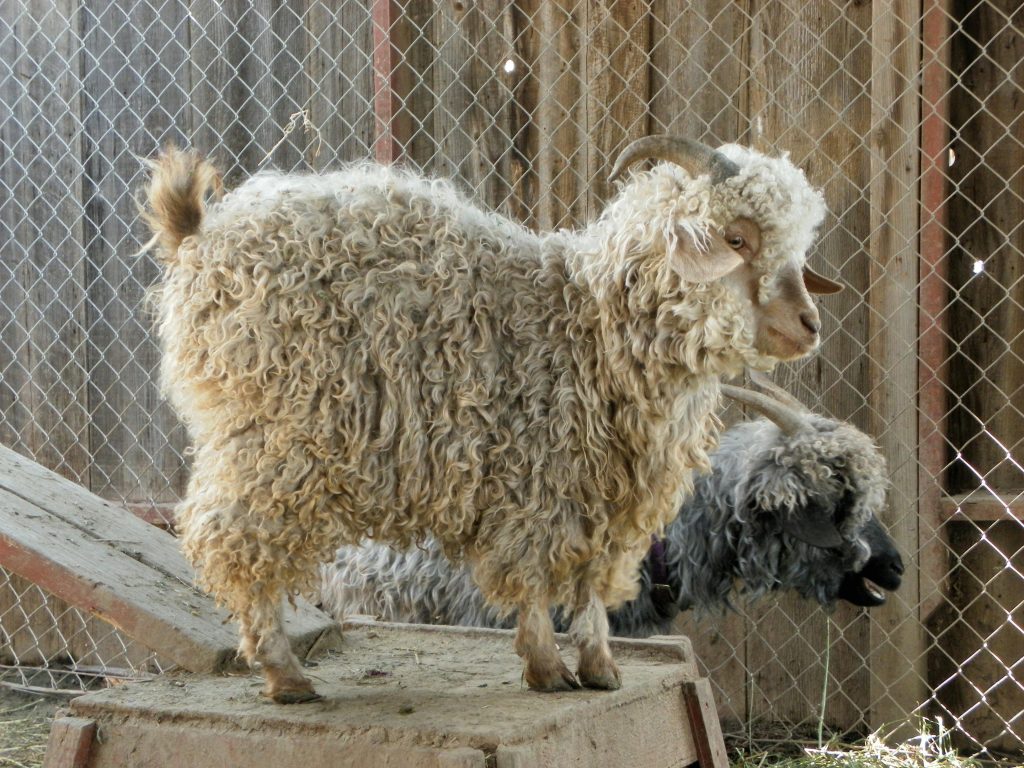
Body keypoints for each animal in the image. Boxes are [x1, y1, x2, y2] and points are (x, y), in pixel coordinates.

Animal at [148, 135, 843, 700]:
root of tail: (200, 236)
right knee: (230, 536)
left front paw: (600, 668)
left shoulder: (603, 492)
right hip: (273, 436)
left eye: (797, 247)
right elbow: (534, 575)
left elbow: (591, 582)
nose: (809, 325)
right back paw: (284, 674)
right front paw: (547, 668)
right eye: (737, 239)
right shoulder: (533, 477)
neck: (587, 326)